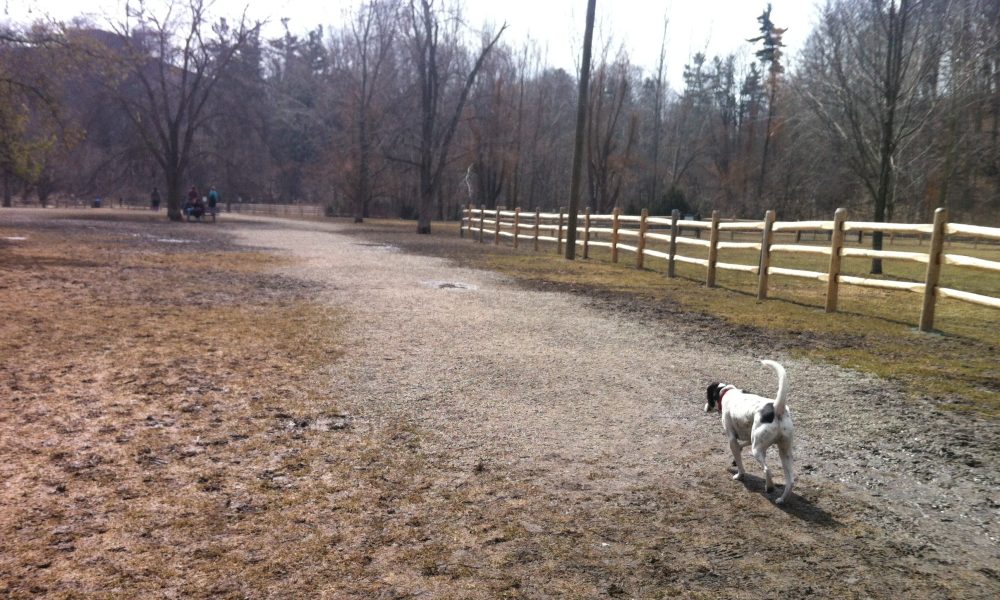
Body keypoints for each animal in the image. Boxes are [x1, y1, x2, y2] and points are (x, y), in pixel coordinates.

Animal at [704, 360, 796, 502]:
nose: (705, 407)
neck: (727, 393)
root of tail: (776, 408)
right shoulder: (748, 436)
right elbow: (742, 445)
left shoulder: (732, 438)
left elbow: (739, 458)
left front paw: (739, 474)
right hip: (784, 452)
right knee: (790, 481)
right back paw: (781, 500)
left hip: (757, 450)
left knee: (767, 470)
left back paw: (769, 487)